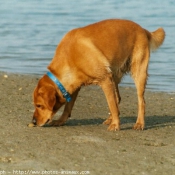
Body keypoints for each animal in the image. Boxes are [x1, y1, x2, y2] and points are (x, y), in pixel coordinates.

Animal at [30, 19, 165, 131]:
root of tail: (143, 29)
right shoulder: (75, 86)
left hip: (138, 72)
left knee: (141, 101)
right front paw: (61, 121)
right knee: (117, 98)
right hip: (114, 75)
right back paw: (111, 119)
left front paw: (116, 124)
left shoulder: (105, 79)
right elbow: (68, 106)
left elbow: (112, 105)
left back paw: (139, 123)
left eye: (39, 105)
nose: (34, 122)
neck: (70, 58)